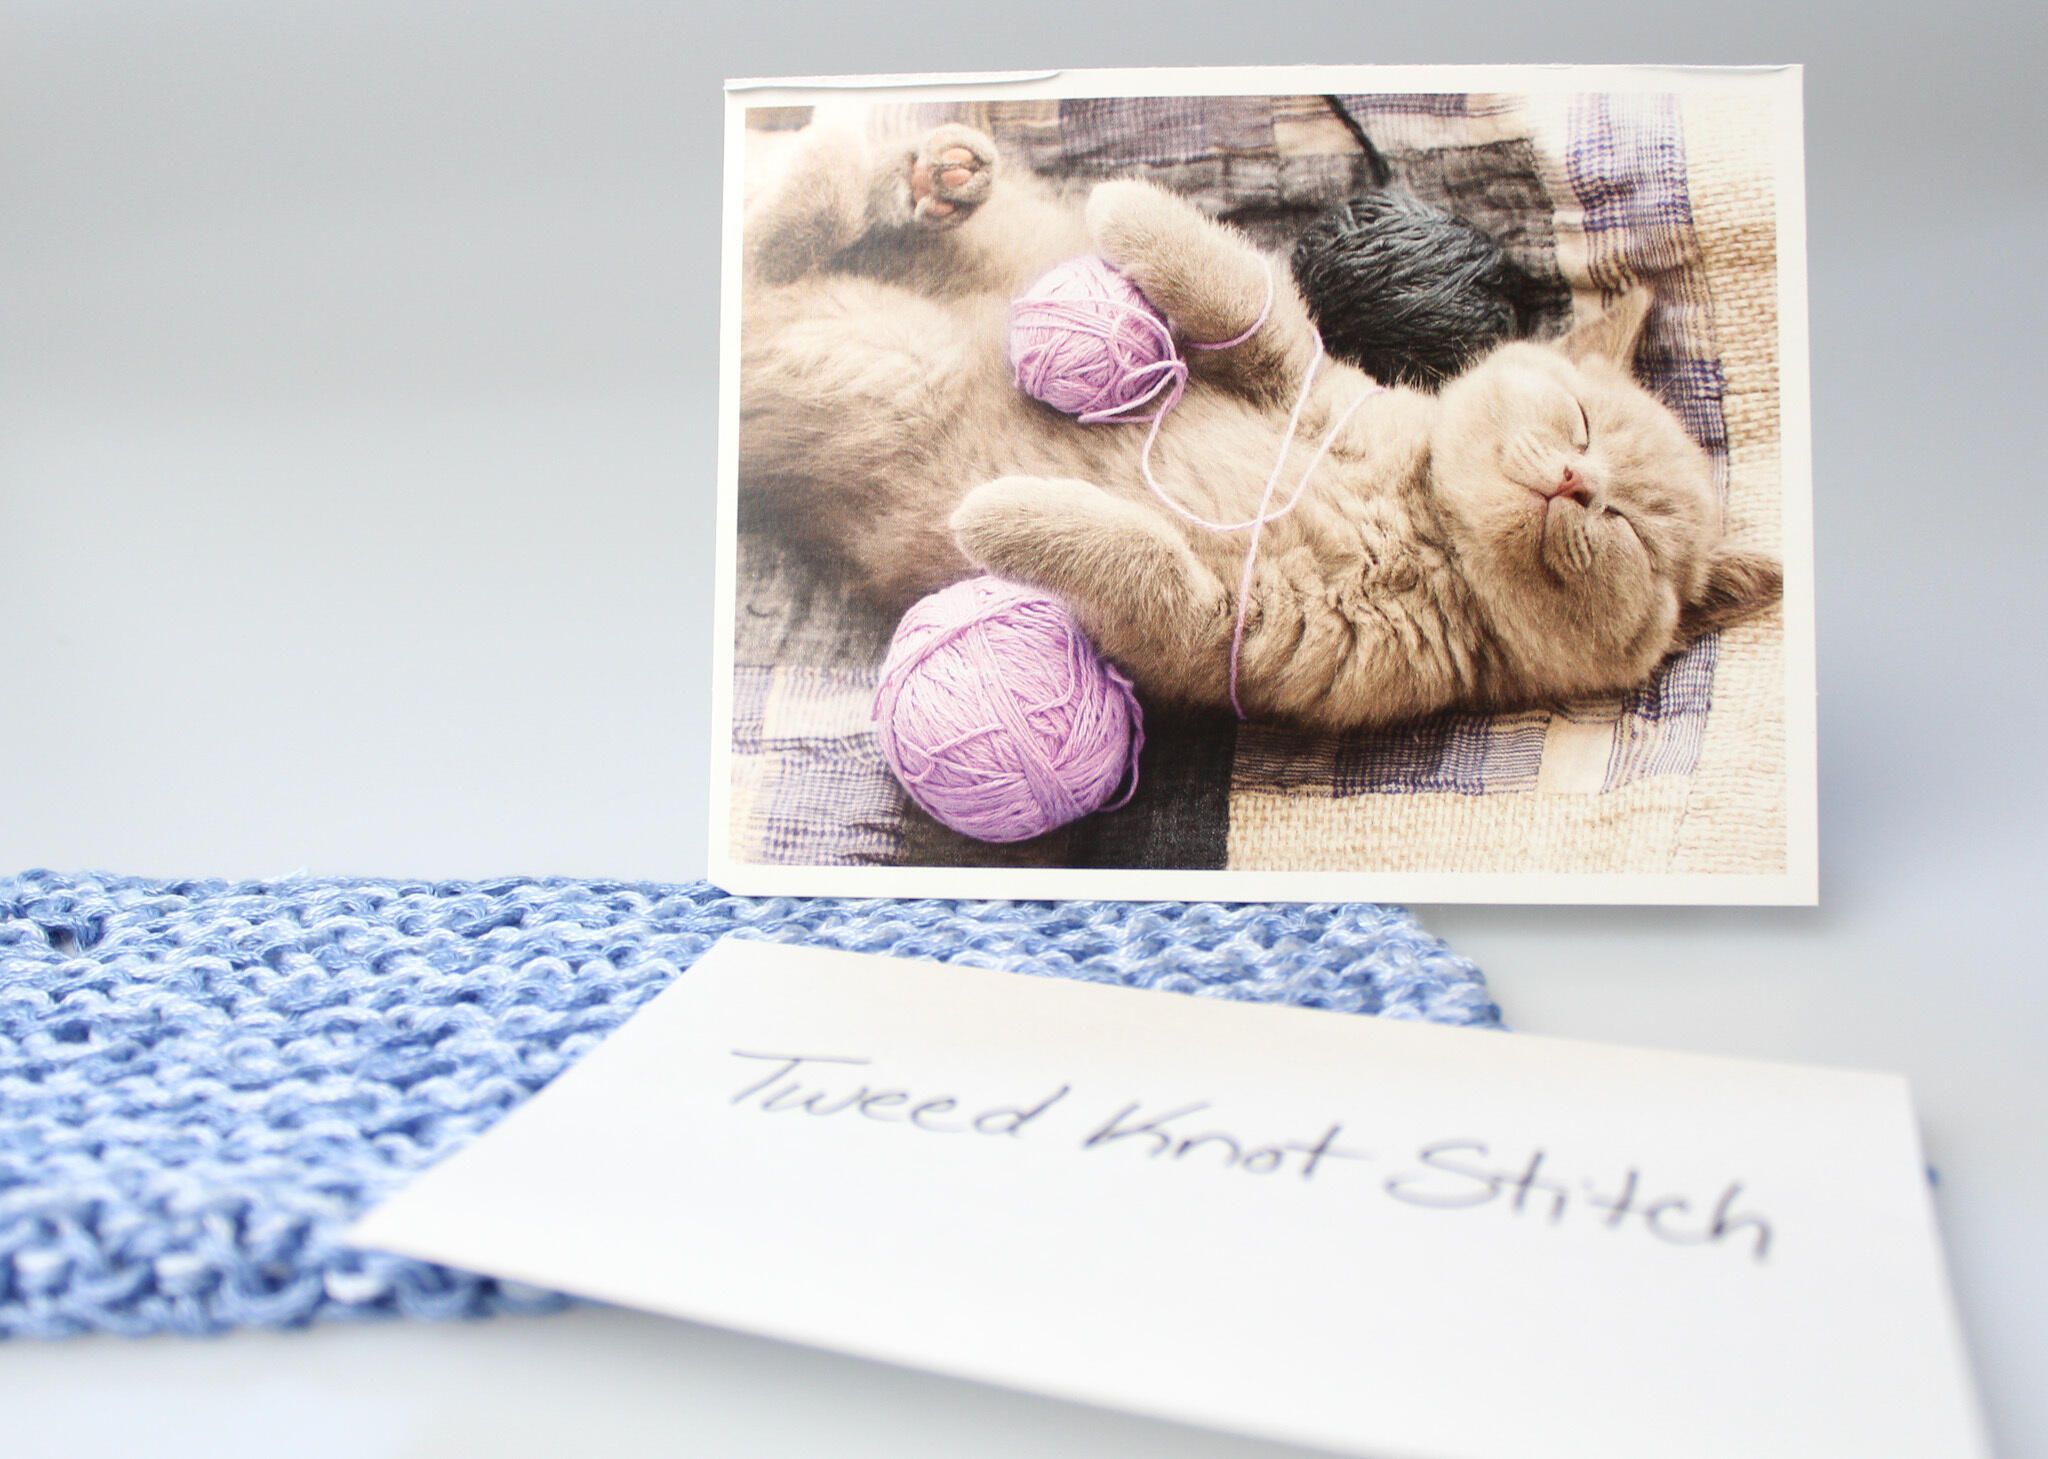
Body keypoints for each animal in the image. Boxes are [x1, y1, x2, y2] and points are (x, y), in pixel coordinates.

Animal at [739, 119, 1782, 732]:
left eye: (1629, 531)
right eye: (1580, 422)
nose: (1577, 483)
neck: (1423, 523)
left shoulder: (1229, 639)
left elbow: (1146, 566)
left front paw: (1001, 515)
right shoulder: (1315, 384)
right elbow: (1250, 297)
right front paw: (1131, 206)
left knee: (767, 255)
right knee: (785, 232)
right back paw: (928, 166)